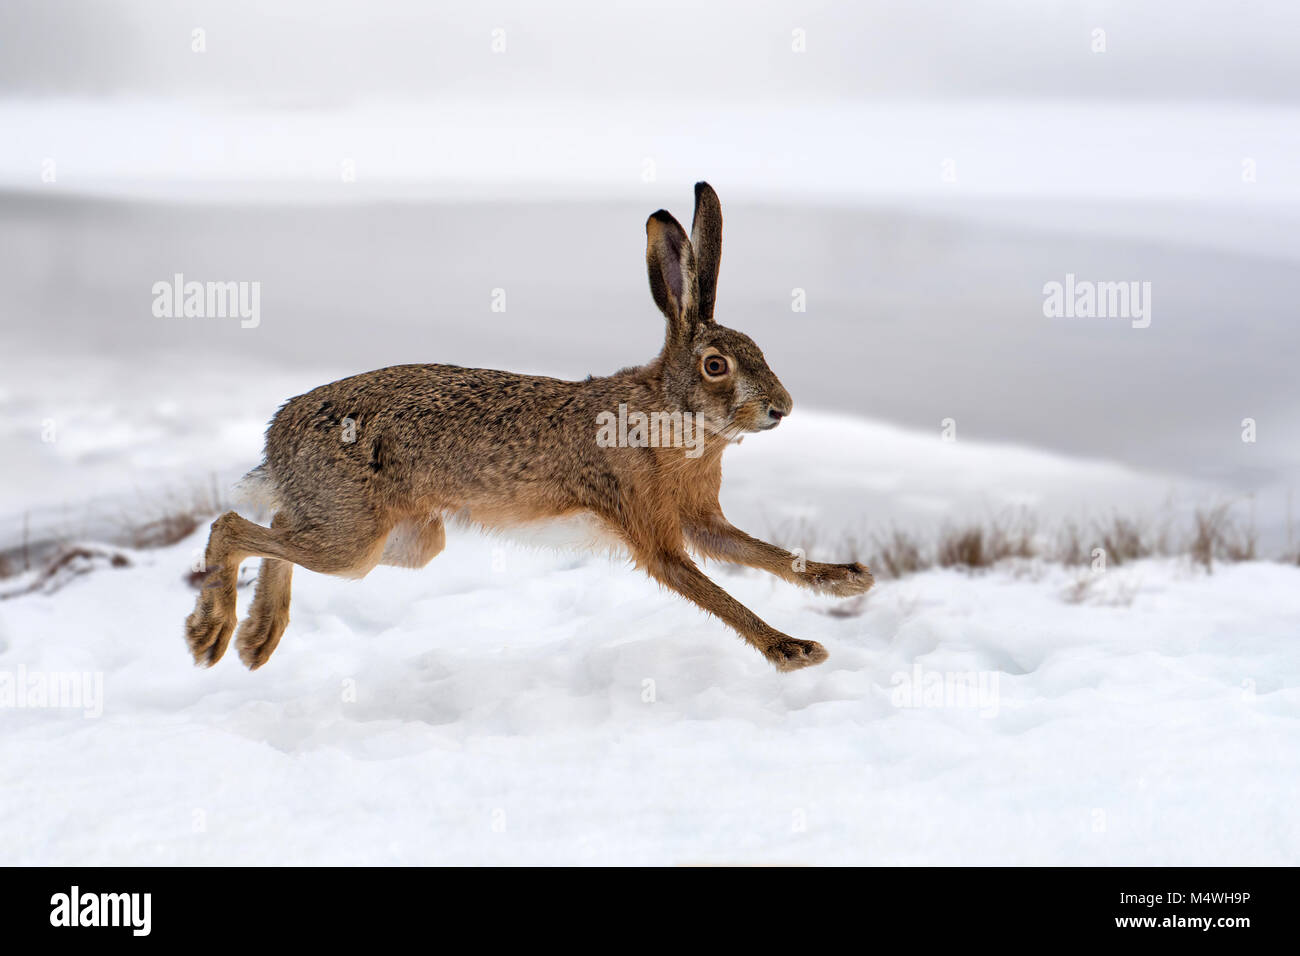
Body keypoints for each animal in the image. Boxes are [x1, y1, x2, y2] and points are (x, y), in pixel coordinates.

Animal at [184, 182, 873, 673]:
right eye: (715, 365)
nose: (782, 407)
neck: (669, 414)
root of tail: (278, 435)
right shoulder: (651, 531)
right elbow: (710, 590)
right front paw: (793, 650)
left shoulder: (702, 519)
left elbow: (766, 553)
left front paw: (846, 580)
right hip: (355, 539)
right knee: (231, 526)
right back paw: (210, 634)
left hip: (404, 541)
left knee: (275, 526)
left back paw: (257, 640)